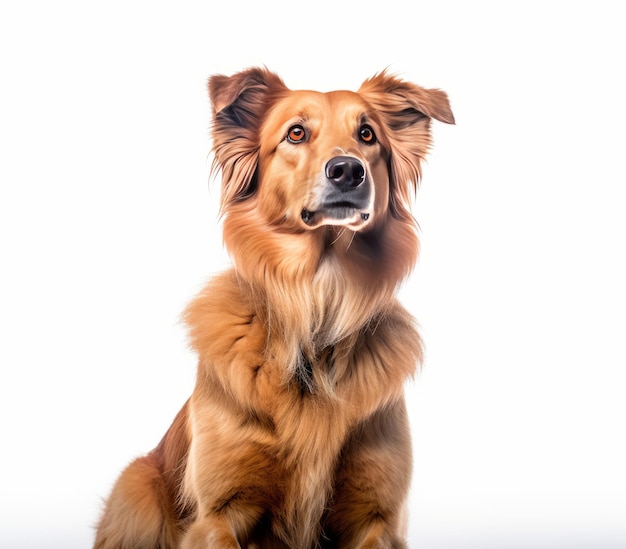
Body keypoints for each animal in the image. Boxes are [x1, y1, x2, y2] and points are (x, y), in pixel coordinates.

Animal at [92, 66, 450, 544]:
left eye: (367, 134)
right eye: (296, 133)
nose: (348, 170)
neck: (317, 308)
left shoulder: (376, 518)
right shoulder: (220, 512)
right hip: (137, 489)